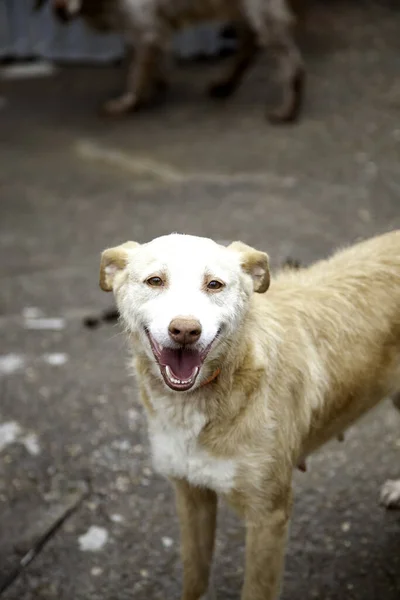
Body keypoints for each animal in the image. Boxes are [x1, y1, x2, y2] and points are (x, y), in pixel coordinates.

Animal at [35, 0, 304, 122]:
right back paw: (225, 85)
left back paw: (288, 109)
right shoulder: (151, 31)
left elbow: (136, 73)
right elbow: (152, 64)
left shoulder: (146, 28)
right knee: (249, 46)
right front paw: (156, 87)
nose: (58, 11)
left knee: (292, 64)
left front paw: (129, 102)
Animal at [97, 231, 400, 600]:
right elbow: (194, 576)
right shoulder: (191, 496)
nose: (185, 331)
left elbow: (255, 588)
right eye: (155, 280)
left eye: (214, 284)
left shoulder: (269, 517)